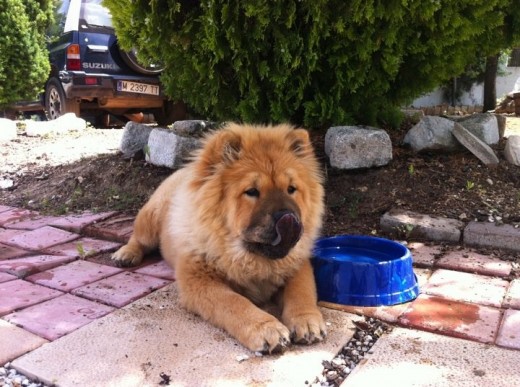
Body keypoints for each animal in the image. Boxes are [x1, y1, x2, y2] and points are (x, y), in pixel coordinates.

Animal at [112, 123, 324, 354]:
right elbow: (234, 302)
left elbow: (301, 291)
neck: (248, 258)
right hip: (151, 217)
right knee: (137, 238)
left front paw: (307, 321)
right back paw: (125, 254)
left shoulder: (298, 264)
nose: (289, 218)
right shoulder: (199, 280)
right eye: (252, 191)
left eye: (291, 189)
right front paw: (267, 329)